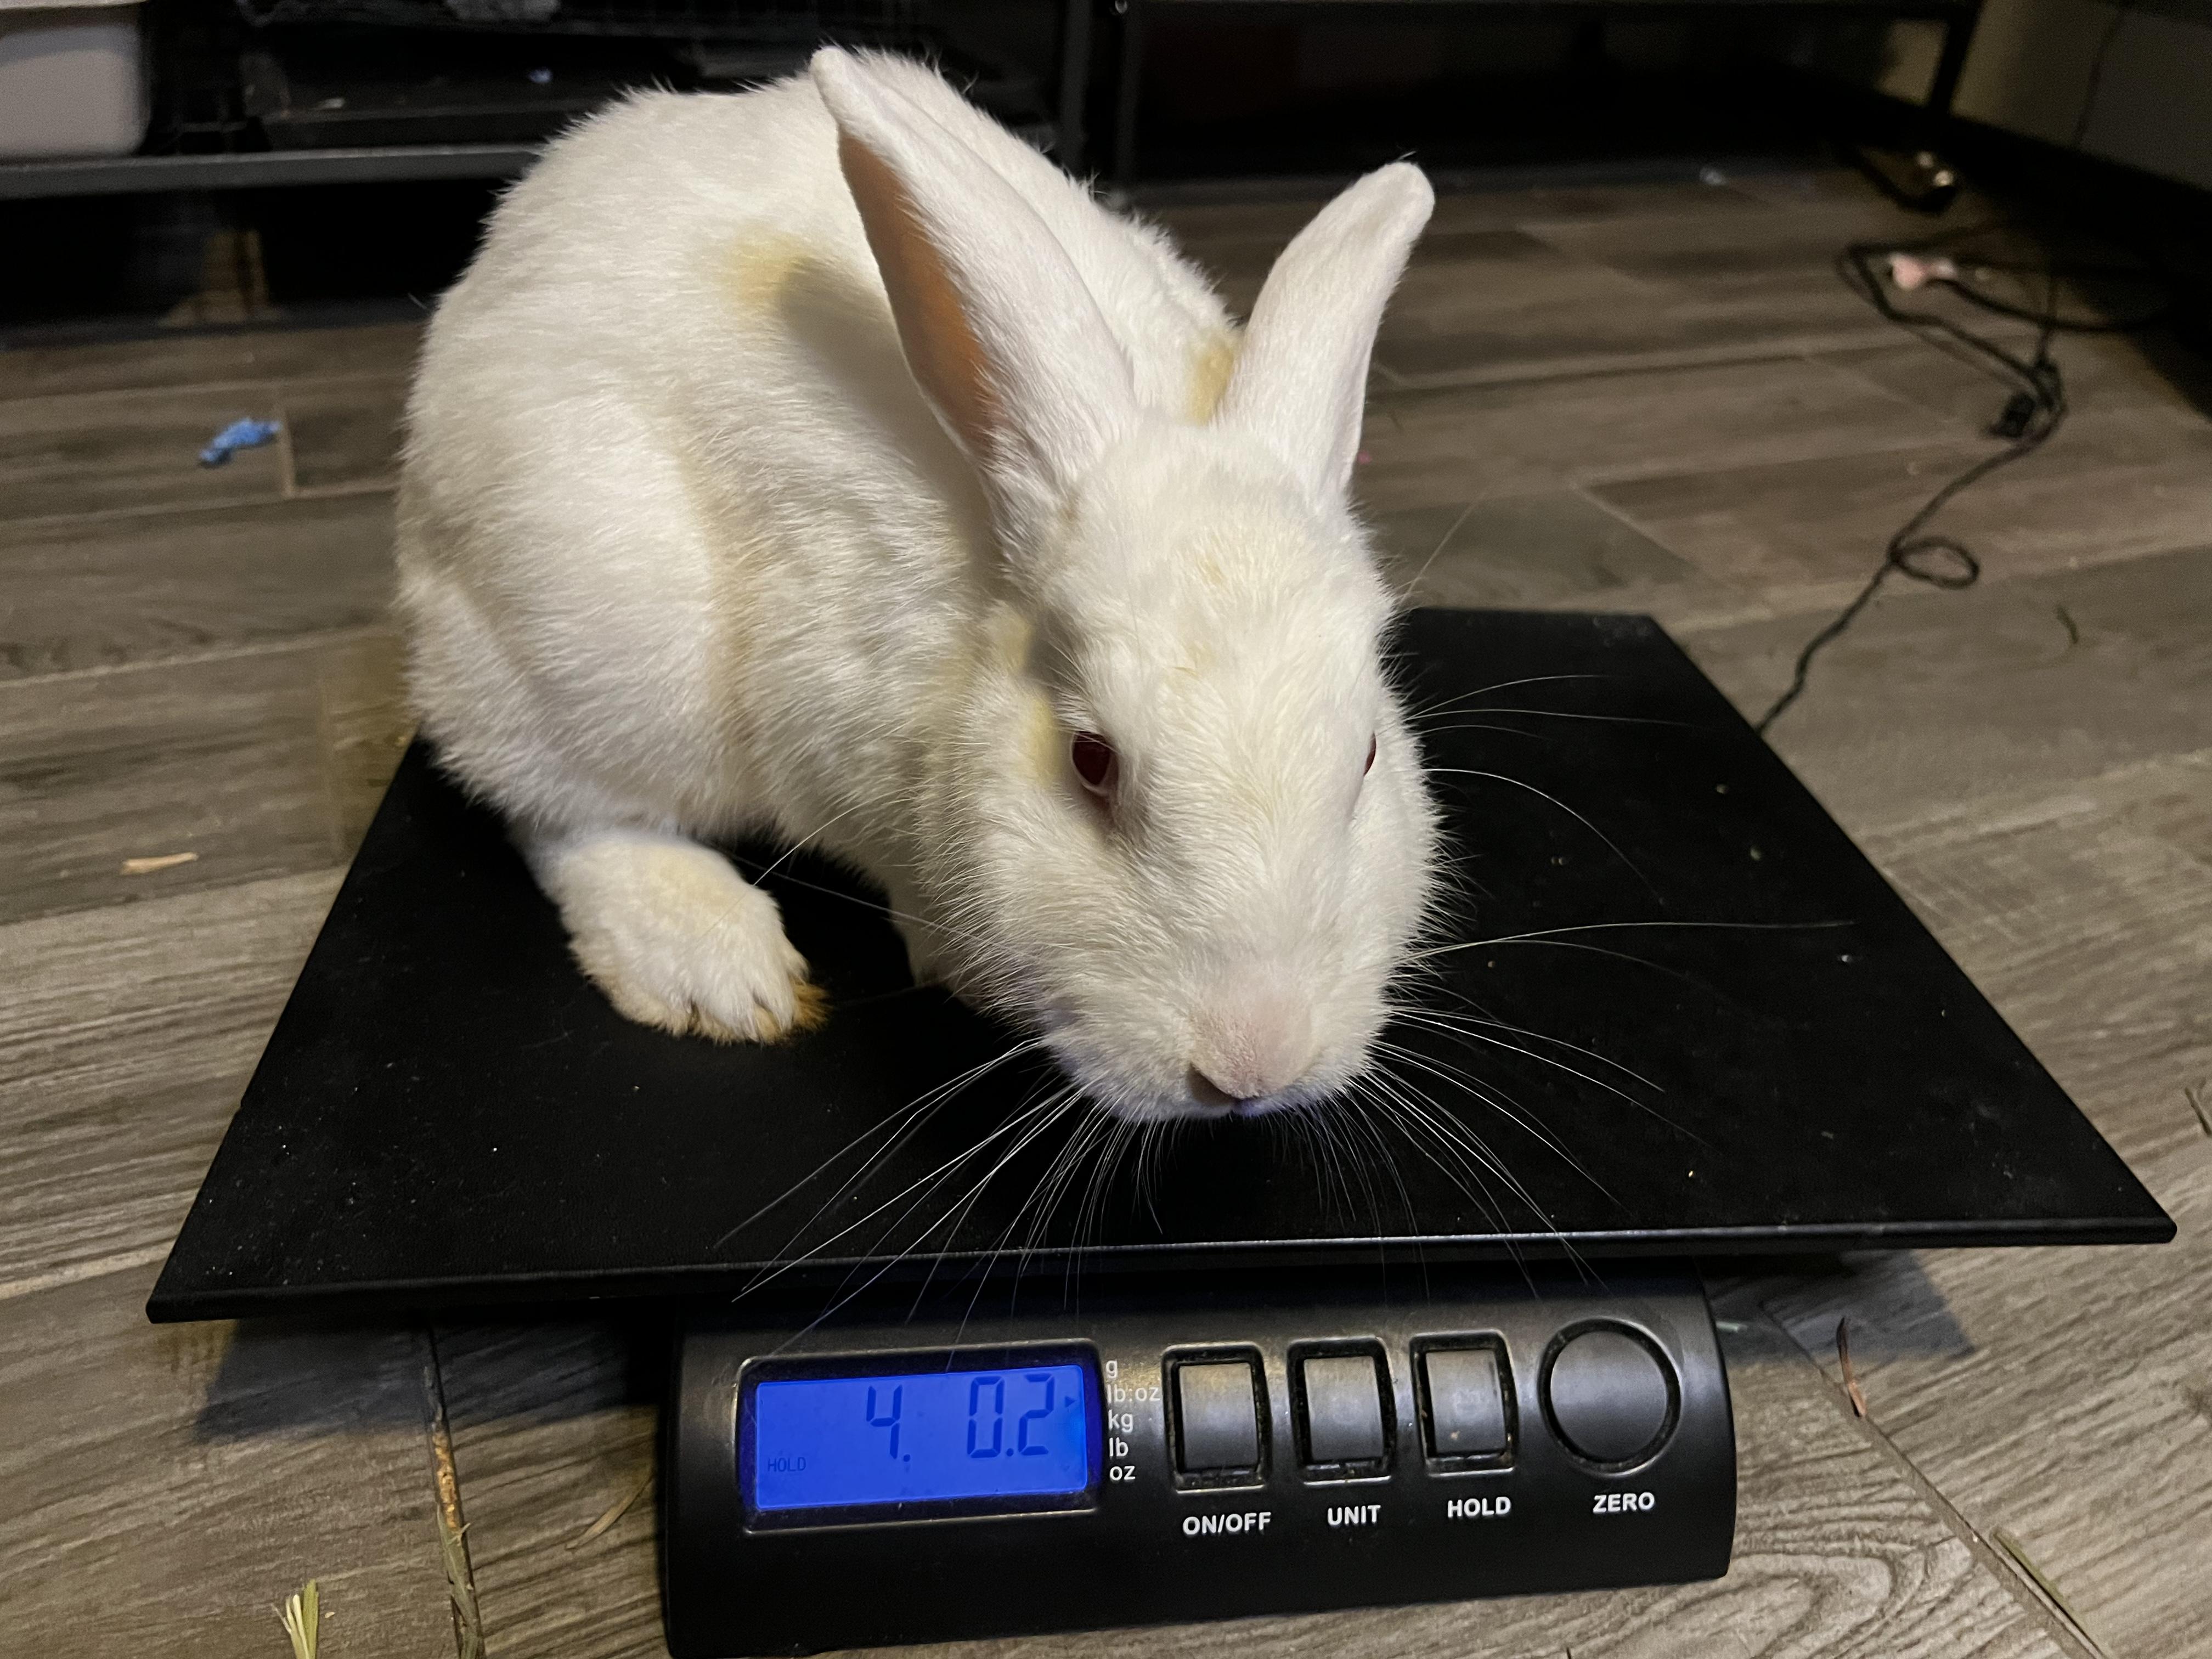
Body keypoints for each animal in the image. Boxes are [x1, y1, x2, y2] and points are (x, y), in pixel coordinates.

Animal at [395, 48, 1441, 1124]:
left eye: (1367, 754)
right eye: (1090, 761)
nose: (1253, 1064)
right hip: (588, 636)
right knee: (558, 809)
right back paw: (712, 964)